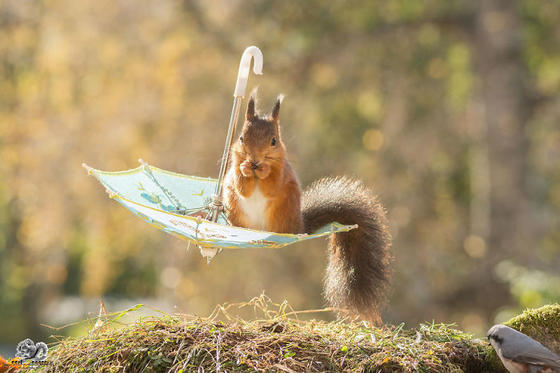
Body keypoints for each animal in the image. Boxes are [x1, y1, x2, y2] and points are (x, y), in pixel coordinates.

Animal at [221, 91, 392, 320]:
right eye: (241, 138)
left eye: (274, 140)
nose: (255, 160)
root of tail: (299, 226)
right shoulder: (234, 167)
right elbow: (242, 186)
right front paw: (245, 168)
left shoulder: (282, 171)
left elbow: (271, 185)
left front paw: (264, 170)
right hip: (235, 207)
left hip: (283, 211)